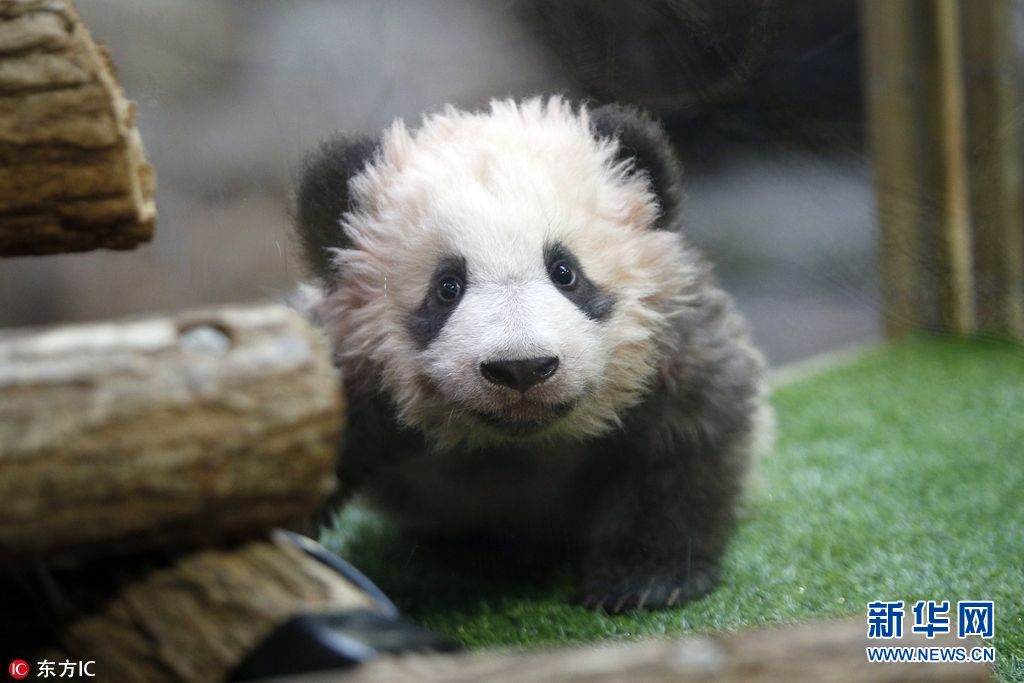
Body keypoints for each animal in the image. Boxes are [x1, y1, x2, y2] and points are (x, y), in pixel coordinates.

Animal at [294, 96, 772, 612]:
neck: (519, 441)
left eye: (565, 271)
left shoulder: (668, 344)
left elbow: (683, 443)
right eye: (447, 287)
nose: (521, 369)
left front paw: (646, 579)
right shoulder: (348, 371)